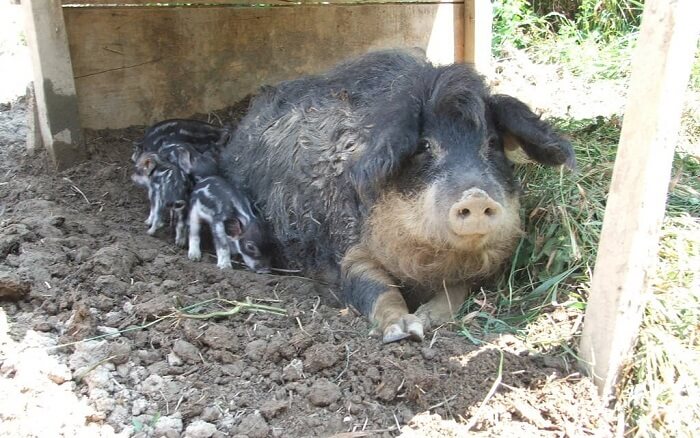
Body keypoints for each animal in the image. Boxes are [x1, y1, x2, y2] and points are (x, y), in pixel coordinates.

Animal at [221, 49, 576, 344]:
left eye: (491, 143)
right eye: (424, 146)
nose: (475, 196)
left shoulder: (478, 270)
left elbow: (455, 291)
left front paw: (425, 320)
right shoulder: (347, 249)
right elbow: (376, 289)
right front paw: (404, 330)